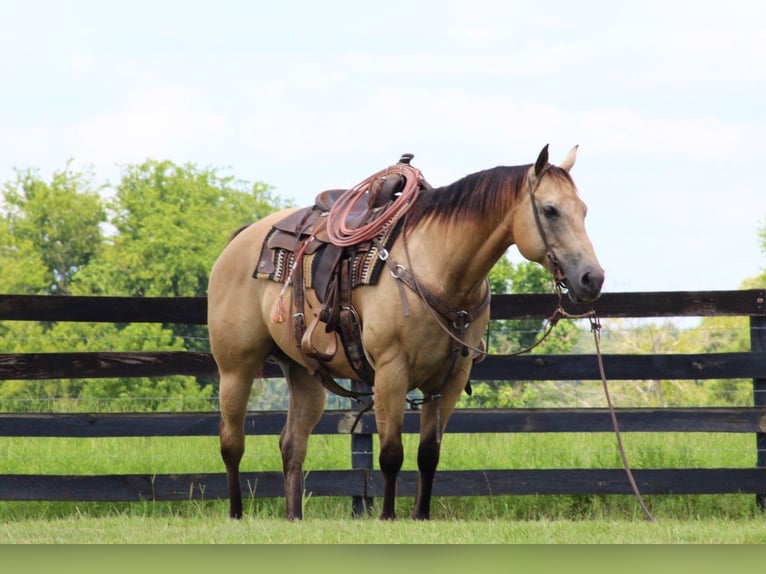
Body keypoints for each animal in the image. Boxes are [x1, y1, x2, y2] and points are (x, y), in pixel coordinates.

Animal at [208, 145, 608, 520]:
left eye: (585, 210)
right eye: (550, 210)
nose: (592, 278)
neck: (440, 269)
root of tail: (240, 242)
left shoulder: (450, 378)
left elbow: (428, 453)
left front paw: (421, 515)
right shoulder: (391, 372)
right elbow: (390, 452)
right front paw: (387, 515)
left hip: (304, 374)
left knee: (292, 445)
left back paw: (294, 517)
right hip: (235, 369)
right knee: (232, 442)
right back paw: (235, 513)